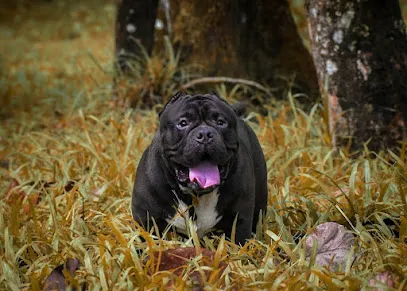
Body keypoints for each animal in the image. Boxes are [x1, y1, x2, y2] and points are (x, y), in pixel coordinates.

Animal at [132, 92, 270, 245]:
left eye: (220, 122)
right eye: (183, 123)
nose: (204, 134)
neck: (195, 194)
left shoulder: (239, 222)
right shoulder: (146, 222)